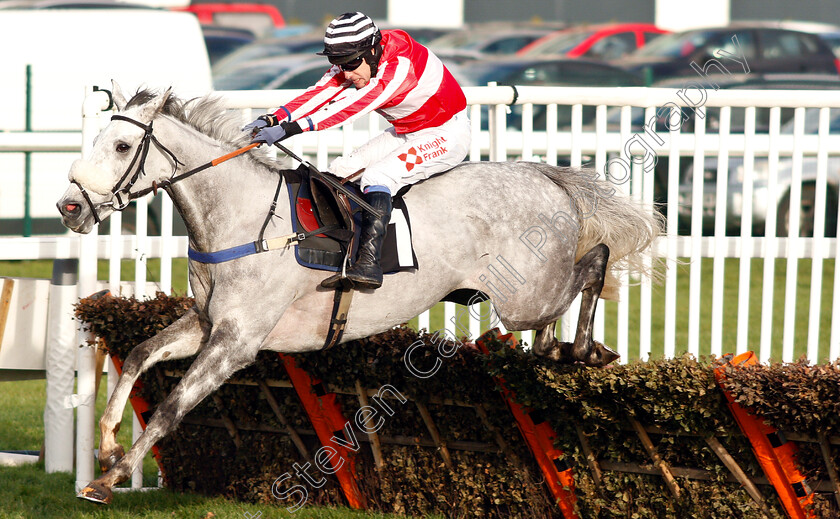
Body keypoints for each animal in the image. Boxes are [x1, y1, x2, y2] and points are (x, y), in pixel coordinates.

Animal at [57, 84, 664, 504]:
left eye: (122, 145)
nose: (69, 207)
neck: (240, 217)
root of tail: (547, 177)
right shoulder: (207, 324)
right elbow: (139, 353)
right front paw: (108, 445)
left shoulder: (237, 343)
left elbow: (170, 408)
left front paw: (108, 479)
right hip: (527, 298)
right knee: (561, 305)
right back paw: (557, 348)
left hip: (525, 296)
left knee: (594, 261)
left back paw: (583, 348)